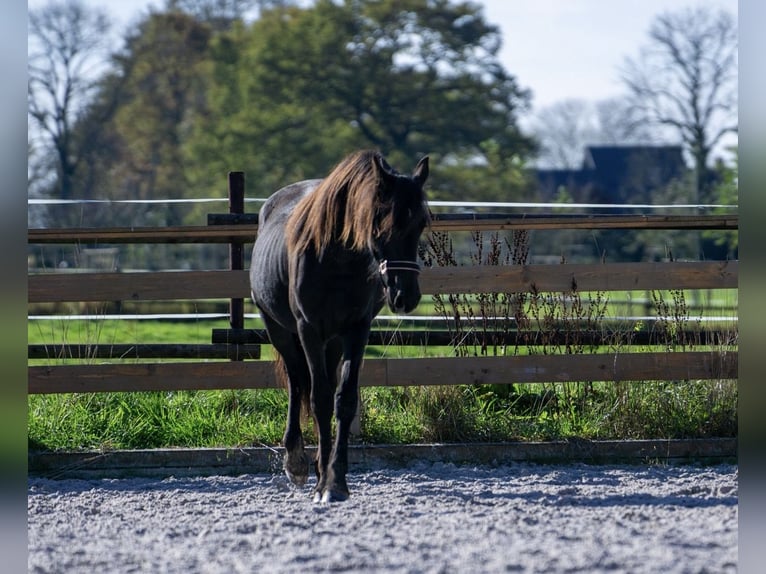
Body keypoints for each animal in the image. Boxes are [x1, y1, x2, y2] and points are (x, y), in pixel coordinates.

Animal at [252, 150, 432, 504]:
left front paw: (335, 480)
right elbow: (319, 398)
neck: (337, 259)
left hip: (332, 341)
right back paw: (296, 461)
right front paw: (323, 481)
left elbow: (344, 400)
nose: (405, 295)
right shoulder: (308, 329)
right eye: (380, 222)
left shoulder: (356, 330)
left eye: (421, 223)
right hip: (279, 330)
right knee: (296, 382)